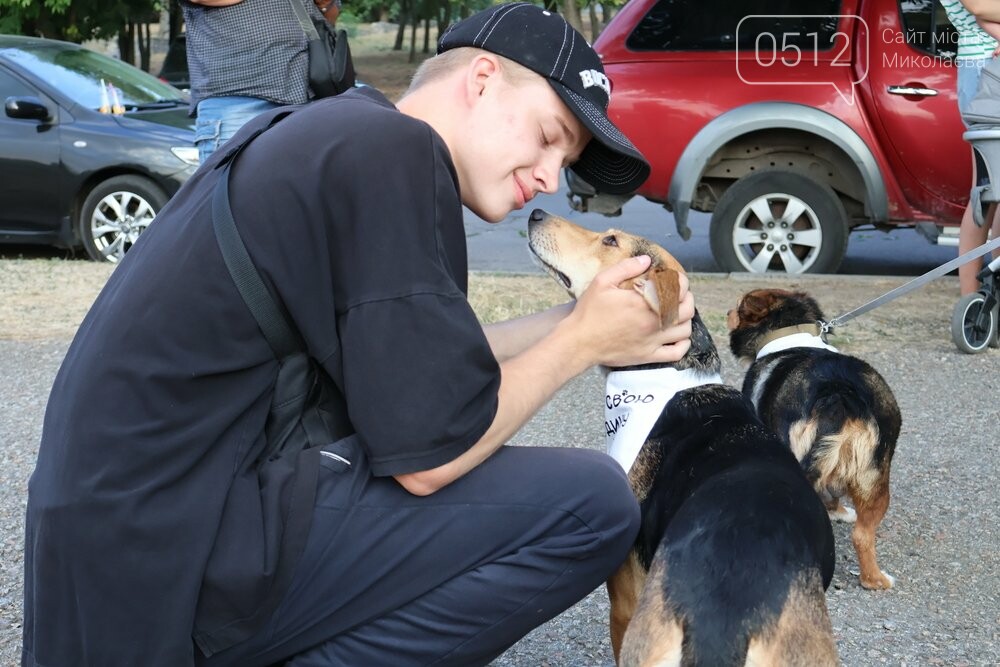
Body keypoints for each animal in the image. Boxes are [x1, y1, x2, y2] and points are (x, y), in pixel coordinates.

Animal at [728, 290, 900, 592]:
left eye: (737, 308)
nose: (727, 312)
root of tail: (839, 394)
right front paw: (839, 511)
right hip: (875, 476)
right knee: (862, 535)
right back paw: (876, 581)